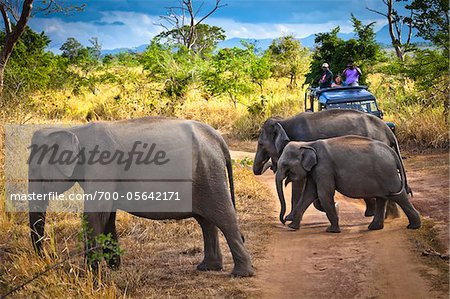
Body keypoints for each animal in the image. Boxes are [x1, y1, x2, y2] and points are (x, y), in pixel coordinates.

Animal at [28, 116, 253, 276]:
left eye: (36, 170)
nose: (47, 257)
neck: (75, 130)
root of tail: (218, 138)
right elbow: (107, 216)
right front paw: (114, 268)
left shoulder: (102, 166)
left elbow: (94, 215)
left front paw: (91, 275)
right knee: (206, 221)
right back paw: (207, 267)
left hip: (209, 173)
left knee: (224, 217)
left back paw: (241, 274)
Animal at [253, 110, 408, 220]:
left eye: (260, 144)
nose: (270, 165)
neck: (283, 121)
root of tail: (389, 131)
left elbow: (300, 184)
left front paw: (289, 218)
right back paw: (389, 216)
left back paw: (386, 216)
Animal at [274, 135, 422, 232]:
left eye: (285, 164)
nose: (283, 221)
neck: (309, 144)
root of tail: (393, 153)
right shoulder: (315, 171)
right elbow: (309, 194)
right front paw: (292, 227)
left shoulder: (324, 167)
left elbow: (324, 194)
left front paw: (332, 230)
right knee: (382, 197)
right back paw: (374, 227)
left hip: (388, 174)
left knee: (398, 195)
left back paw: (413, 227)